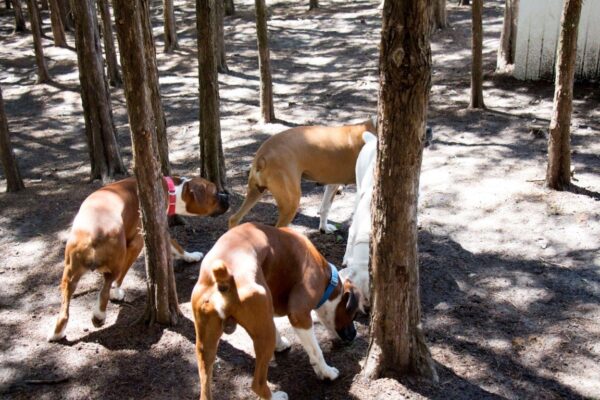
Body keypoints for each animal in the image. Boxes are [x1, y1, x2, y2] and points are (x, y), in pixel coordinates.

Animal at [47, 175, 229, 340]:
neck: (172, 190)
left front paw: (191, 256)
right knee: (107, 287)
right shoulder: (140, 240)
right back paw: (99, 314)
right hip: (119, 257)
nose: (227, 196)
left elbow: (175, 245)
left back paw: (58, 332)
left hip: (69, 273)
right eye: (215, 192)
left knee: (65, 304)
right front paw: (117, 292)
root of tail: (92, 231)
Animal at [229, 117, 376, 233]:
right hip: (291, 202)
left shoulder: (333, 184)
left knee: (234, 219)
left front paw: (324, 229)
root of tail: (263, 155)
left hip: (255, 192)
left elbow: (325, 208)